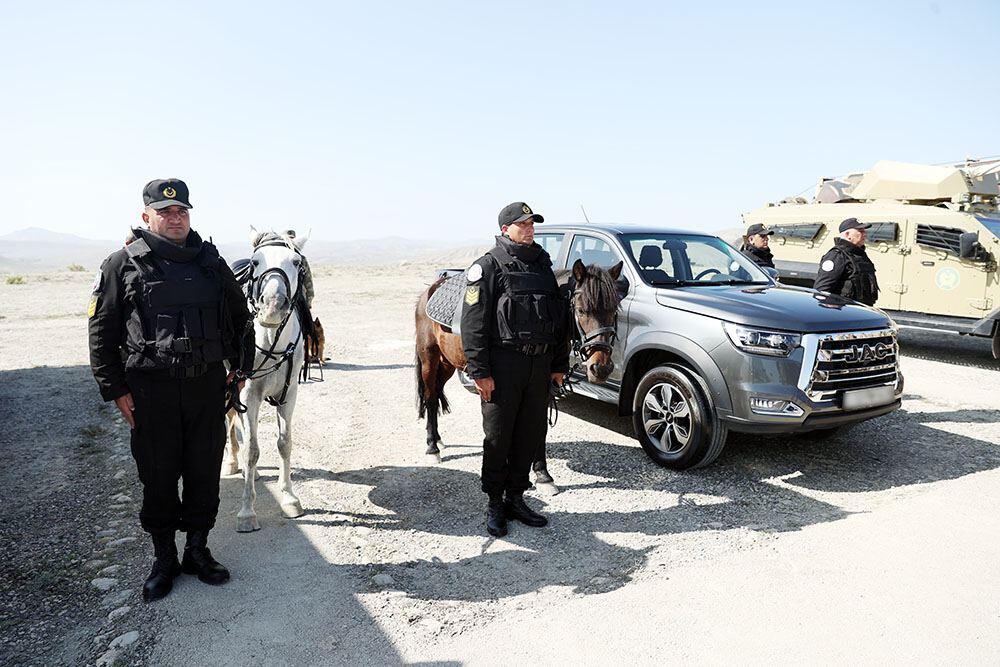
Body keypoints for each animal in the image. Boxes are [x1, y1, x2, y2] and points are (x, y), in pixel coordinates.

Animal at [224, 228, 309, 533]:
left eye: (296, 262)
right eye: (255, 261)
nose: (273, 306)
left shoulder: (289, 394)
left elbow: (285, 443)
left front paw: (289, 498)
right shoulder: (247, 394)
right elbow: (251, 449)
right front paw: (246, 512)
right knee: (232, 423)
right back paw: (233, 463)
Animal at [414, 258, 623, 484]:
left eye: (614, 311)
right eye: (582, 310)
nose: (601, 367)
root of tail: (429, 292)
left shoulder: (544, 386)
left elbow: (539, 427)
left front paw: (542, 474)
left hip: (447, 365)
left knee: (436, 392)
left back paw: (438, 439)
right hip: (429, 360)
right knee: (430, 398)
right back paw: (432, 447)